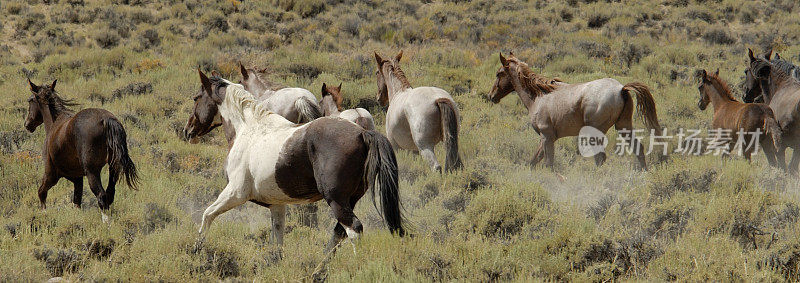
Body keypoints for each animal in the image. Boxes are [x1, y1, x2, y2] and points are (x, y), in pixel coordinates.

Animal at [24, 79, 140, 223]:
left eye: (30, 100)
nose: (27, 124)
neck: (55, 124)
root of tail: (106, 120)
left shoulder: (51, 174)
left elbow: (41, 192)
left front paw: (44, 214)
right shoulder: (77, 179)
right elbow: (77, 202)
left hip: (92, 172)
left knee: (101, 195)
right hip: (113, 167)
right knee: (109, 193)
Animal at [488, 53, 664, 170]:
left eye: (499, 73)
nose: (491, 96)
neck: (539, 96)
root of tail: (621, 89)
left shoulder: (547, 136)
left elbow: (548, 164)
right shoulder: (546, 138)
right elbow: (533, 161)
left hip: (596, 133)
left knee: (600, 157)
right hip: (623, 126)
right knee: (638, 149)